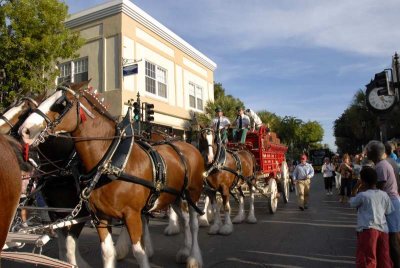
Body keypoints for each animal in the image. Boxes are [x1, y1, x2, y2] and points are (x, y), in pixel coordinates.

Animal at [19, 86, 205, 268]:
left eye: (62, 103)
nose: (25, 130)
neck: (111, 162)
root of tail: (187, 146)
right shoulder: (100, 216)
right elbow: (107, 252)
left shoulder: (131, 215)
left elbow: (139, 253)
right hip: (174, 196)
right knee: (184, 220)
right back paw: (184, 250)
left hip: (193, 194)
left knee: (193, 224)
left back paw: (193, 258)